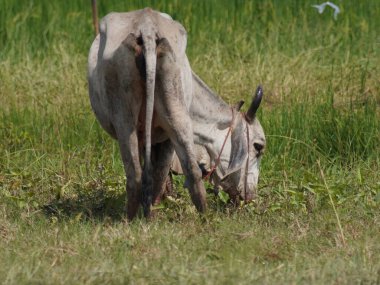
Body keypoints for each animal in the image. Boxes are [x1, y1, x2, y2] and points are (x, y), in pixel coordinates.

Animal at [87, 7, 266, 220]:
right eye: (258, 146)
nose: (251, 196)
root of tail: (147, 27)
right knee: (181, 171)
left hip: (132, 121)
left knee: (141, 174)